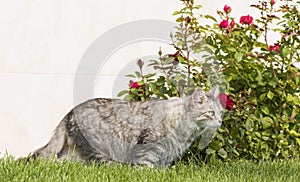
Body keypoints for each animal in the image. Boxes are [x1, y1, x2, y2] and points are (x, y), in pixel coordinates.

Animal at [30, 86, 223, 167]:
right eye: (211, 113)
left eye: (221, 113)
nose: (220, 121)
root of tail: (70, 112)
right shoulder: (149, 148)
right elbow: (146, 167)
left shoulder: (165, 155)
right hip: (101, 147)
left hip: (74, 150)